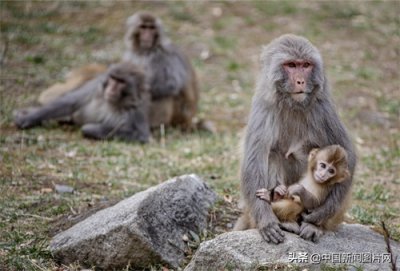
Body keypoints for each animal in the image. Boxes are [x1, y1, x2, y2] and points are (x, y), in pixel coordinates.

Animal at [14, 62, 150, 143]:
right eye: (113, 78)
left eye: (121, 81)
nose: (111, 88)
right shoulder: (97, 85)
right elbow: (70, 102)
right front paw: (29, 118)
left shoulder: (137, 108)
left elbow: (141, 135)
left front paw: (90, 128)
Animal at [234, 34, 356, 244]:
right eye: (291, 65)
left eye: (305, 65)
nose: (300, 81)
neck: (292, 104)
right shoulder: (263, 107)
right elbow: (254, 161)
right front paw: (266, 220)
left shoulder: (322, 108)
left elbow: (347, 153)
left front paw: (321, 214)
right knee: (273, 154)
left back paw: (314, 225)